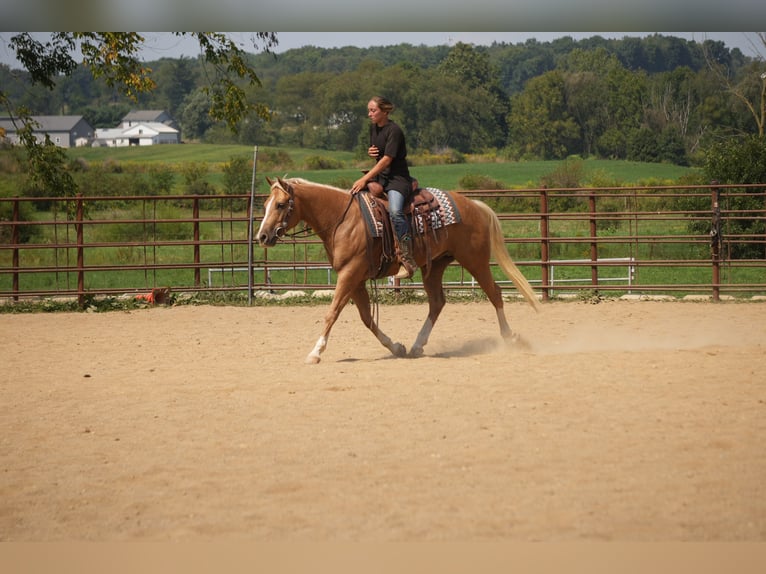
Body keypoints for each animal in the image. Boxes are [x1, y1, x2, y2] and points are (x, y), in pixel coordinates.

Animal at [257, 177, 539, 364]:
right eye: (265, 205)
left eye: (280, 204)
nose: (262, 236)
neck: (343, 219)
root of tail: (474, 206)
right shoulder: (356, 278)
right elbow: (367, 318)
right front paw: (396, 347)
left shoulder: (349, 273)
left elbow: (332, 313)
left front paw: (315, 352)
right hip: (435, 266)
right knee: (437, 302)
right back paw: (416, 346)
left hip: (475, 261)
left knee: (495, 293)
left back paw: (511, 338)